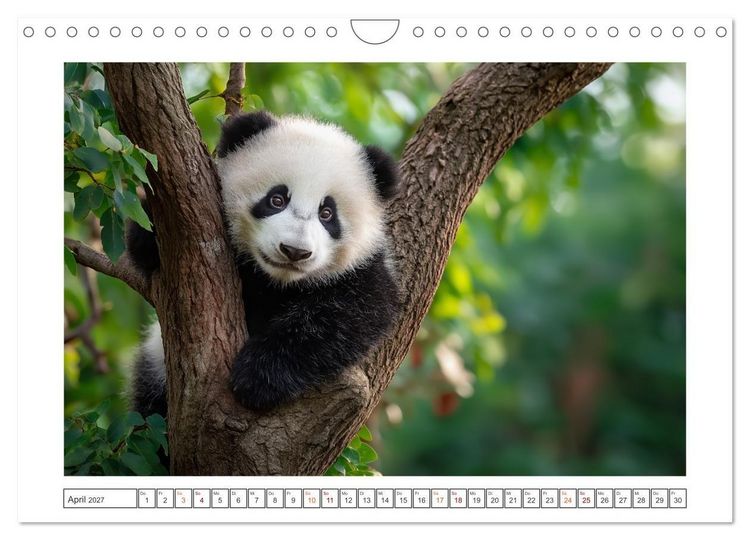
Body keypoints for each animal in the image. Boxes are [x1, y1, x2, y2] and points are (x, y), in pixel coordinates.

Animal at [128, 111, 401, 416]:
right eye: (277, 199)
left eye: (327, 213)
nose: (294, 251)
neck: (276, 281)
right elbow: (142, 247)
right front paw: (148, 234)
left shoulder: (363, 270)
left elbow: (349, 315)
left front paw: (258, 377)